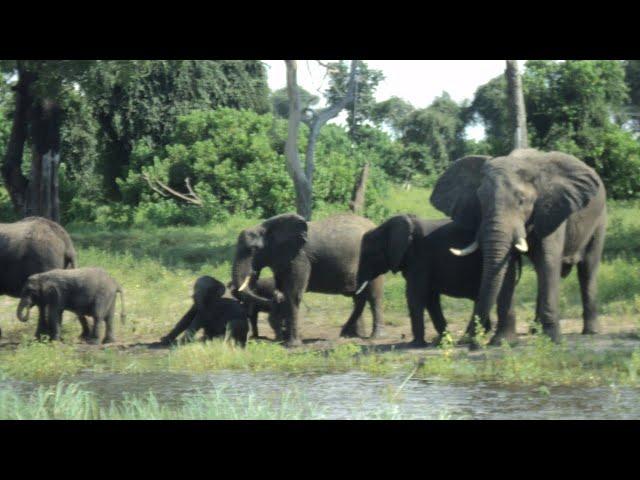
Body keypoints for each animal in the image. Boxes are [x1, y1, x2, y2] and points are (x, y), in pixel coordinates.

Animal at [234, 214, 388, 344]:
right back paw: (348, 335)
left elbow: (293, 294)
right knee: (358, 299)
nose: (272, 299)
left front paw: (292, 344)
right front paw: (283, 339)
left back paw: (375, 337)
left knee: (373, 297)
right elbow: (283, 290)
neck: (267, 227)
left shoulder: (300, 258)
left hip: (375, 259)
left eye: (254, 249)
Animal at [356, 216, 520, 346]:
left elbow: (415, 295)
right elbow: (430, 298)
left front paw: (415, 344)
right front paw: (442, 341)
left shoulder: (420, 257)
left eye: (370, 254)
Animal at [430, 150, 604, 344]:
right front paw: (502, 342)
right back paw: (535, 330)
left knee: (587, 269)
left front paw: (553, 340)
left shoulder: (552, 209)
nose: (466, 341)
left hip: (600, 218)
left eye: (521, 201)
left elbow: (548, 261)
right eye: (481, 201)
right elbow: (507, 270)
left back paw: (591, 332)